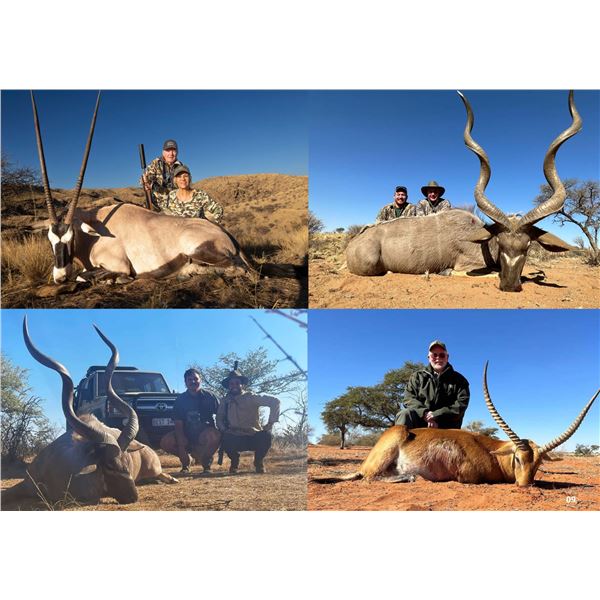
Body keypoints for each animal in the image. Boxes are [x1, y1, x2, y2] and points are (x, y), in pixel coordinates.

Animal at [2, 316, 178, 508]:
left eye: (127, 462)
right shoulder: (27, 483)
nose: (132, 497)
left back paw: (170, 479)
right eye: (109, 465)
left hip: (154, 468)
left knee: (160, 474)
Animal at [30, 91, 255, 285]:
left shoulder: (118, 264)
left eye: (71, 238)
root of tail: (226, 235)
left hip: (199, 251)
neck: (94, 232)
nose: (60, 277)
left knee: (240, 269)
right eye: (50, 240)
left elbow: (85, 275)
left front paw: (115, 279)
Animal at [312, 362, 598, 487]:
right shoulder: (468, 476)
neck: (493, 454)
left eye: (538, 464)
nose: (525, 484)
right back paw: (410, 476)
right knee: (370, 478)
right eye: (517, 458)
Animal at [346, 91, 582, 292]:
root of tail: (353, 244)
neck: (485, 240)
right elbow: (482, 273)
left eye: (528, 246)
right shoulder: (466, 265)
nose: (509, 285)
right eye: (501, 243)